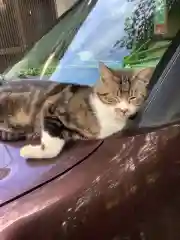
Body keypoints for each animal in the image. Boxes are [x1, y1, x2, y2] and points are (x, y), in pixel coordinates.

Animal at [0, 62, 154, 158]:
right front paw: (28, 151)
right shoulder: (51, 107)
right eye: (114, 97)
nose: (124, 110)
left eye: (133, 98)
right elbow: (53, 142)